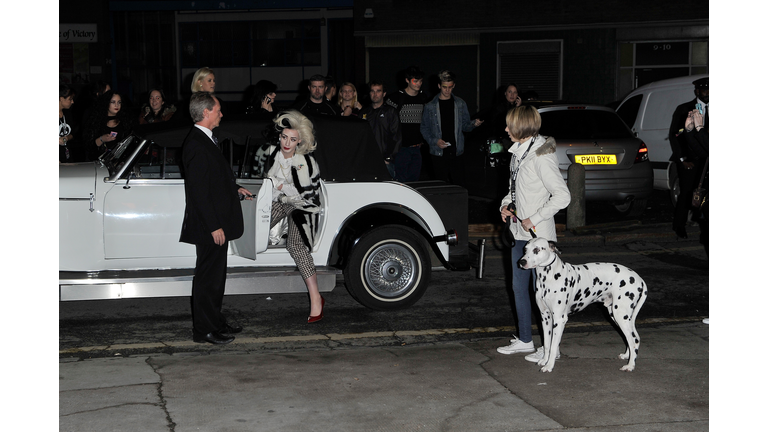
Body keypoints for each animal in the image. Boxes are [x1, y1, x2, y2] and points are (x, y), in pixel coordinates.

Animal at [516, 238, 648, 372]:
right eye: (525, 249)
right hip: (617, 315)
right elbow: (547, 344)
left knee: (633, 340)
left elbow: (553, 346)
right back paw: (627, 356)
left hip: (620, 315)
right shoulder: (545, 317)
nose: (522, 261)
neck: (549, 277)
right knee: (632, 338)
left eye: (537, 249)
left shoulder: (559, 319)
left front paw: (549, 366)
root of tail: (639, 279)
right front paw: (544, 360)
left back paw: (630, 365)